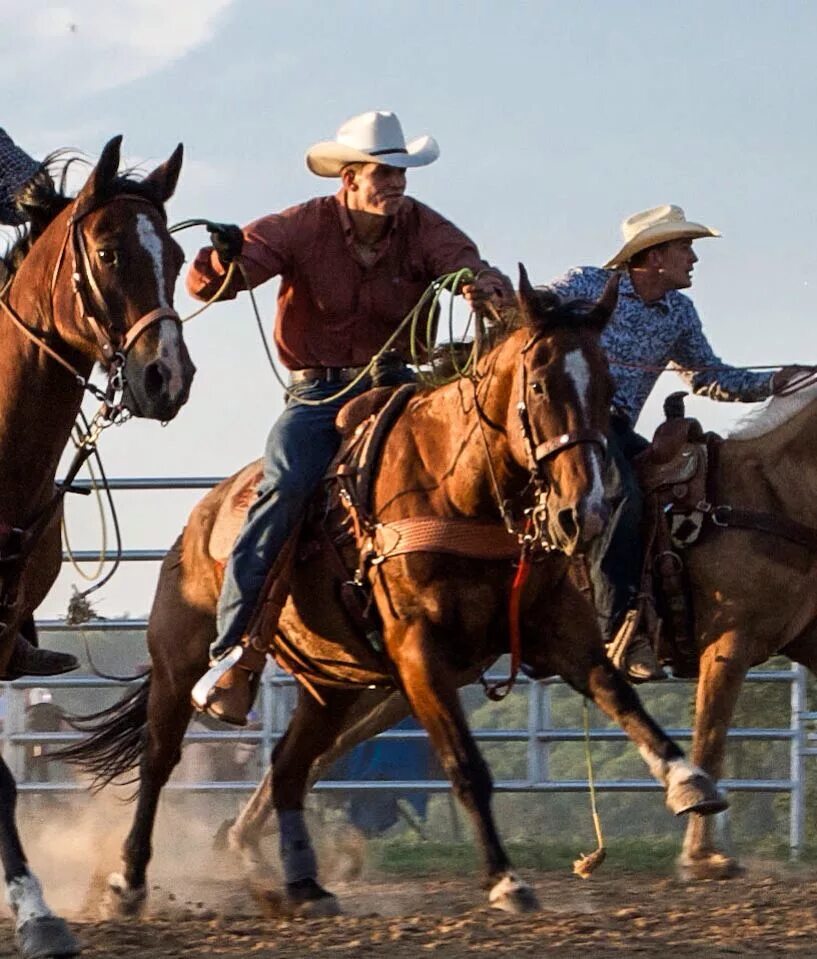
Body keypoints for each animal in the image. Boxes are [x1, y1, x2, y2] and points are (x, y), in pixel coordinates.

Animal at [63, 274, 724, 920]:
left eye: (609, 386)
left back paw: (304, 885)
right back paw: (127, 881)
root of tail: (199, 519)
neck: (459, 490)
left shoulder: (555, 629)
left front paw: (688, 781)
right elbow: (464, 764)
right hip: (180, 658)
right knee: (159, 758)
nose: (582, 512)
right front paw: (506, 880)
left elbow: (617, 692)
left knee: (288, 768)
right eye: (538, 385)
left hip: (327, 684)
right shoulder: (418, 651)